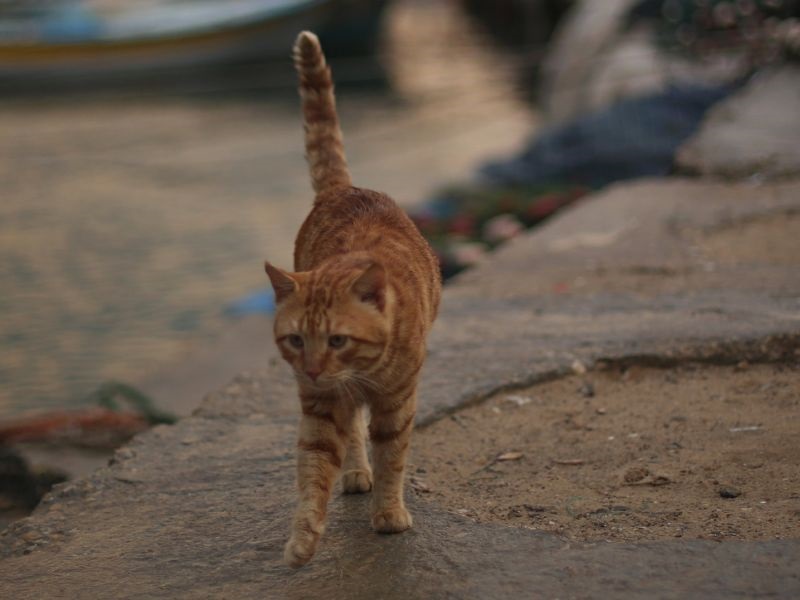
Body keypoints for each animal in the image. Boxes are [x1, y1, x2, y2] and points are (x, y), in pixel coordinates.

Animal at [268, 31, 444, 568]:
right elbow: (314, 468)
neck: (360, 372)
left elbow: (393, 458)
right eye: (296, 340)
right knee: (351, 436)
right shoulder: (320, 406)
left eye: (338, 340)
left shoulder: (398, 402)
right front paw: (304, 537)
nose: (312, 369)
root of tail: (342, 189)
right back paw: (353, 472)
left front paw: (388, 513)